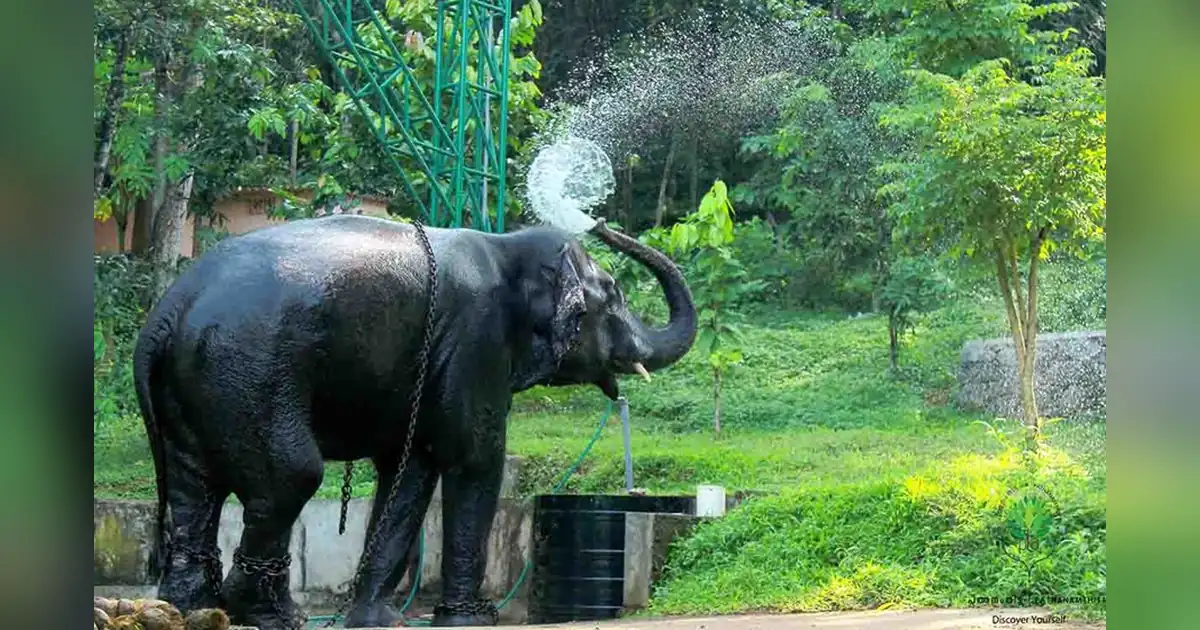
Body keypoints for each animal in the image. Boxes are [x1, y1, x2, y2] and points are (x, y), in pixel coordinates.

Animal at [132, 214, 697, 629]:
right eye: (615, 294)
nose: (600, 221)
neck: (506, 245)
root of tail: (165, 313)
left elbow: (410, 473)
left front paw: (379, 621)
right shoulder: (475, 342)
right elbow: (475, 460)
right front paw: (469, 623)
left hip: (193, 388)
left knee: (193, 486)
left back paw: (192, 609)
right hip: (246, 371)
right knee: (293, 475)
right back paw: (269, 615)